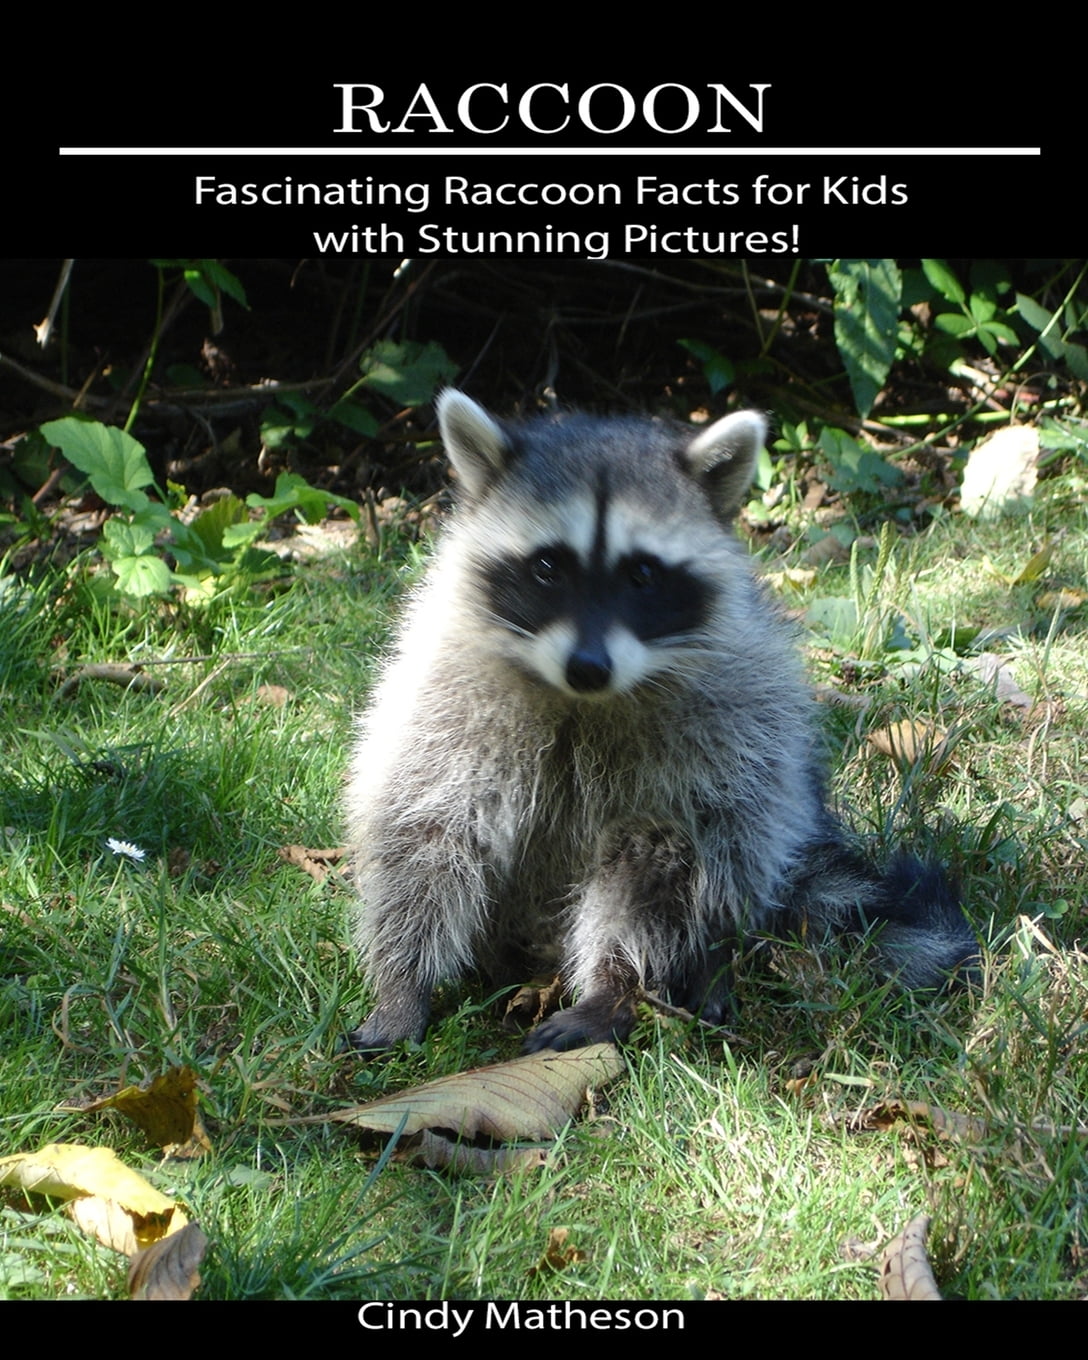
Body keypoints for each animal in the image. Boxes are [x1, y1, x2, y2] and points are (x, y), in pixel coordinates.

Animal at [345, 391, 975, 1053]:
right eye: (547, 568)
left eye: (642, 574)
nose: (588, 667)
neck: (584, 700)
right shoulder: (445, 696)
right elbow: (421, 836)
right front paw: (402, 985)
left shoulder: (741, 708)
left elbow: (727, 832)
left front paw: (679, 963)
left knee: (656, 865)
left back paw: (624, 982)